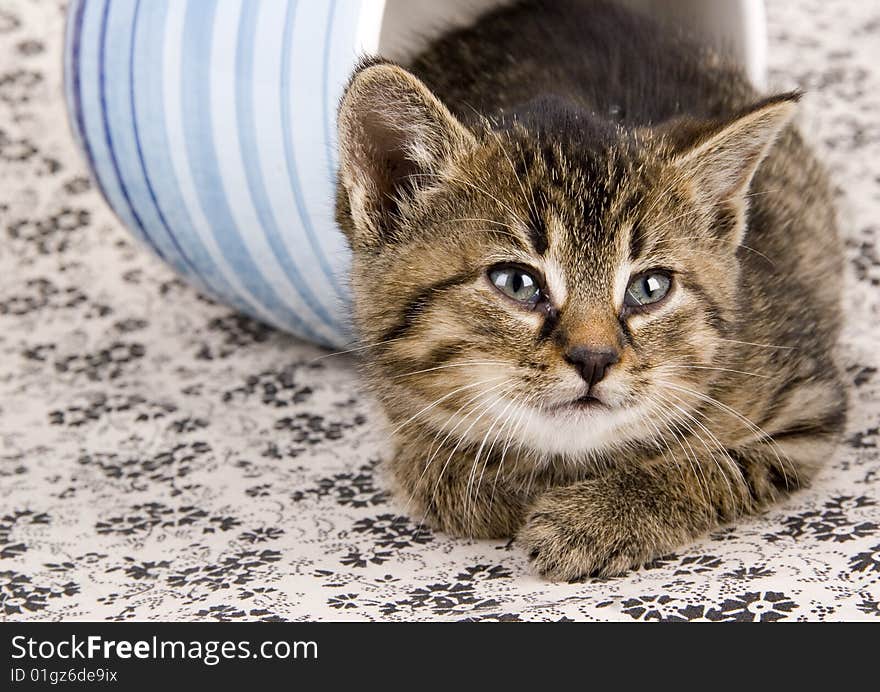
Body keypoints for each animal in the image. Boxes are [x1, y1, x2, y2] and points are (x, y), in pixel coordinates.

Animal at [332, 0, 844, 580]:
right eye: (517, 282)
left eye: (649, 288)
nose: (595, 359)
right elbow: (421, 468)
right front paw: (480, 482)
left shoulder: (807, 405)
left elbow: (712, 466)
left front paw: (595, 519)